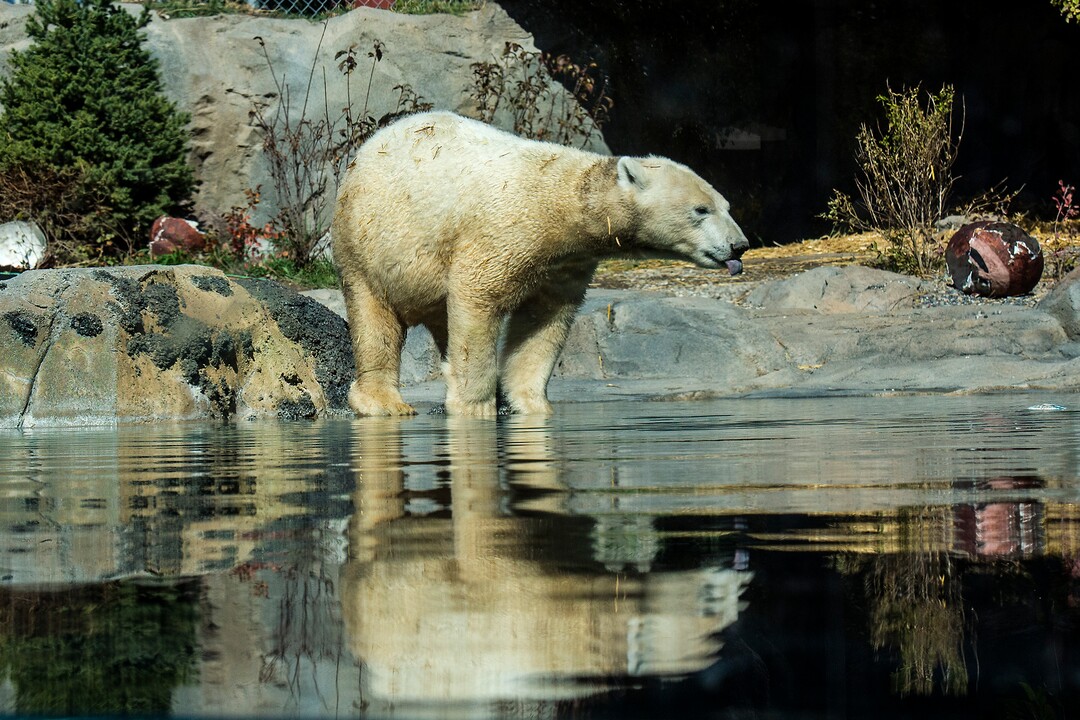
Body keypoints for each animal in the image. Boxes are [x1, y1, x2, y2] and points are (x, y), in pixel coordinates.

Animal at [331, 111, 749, 417]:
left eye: (726, 205)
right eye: (701, 209)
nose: (739, 246)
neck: (561, 202)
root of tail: (371, 145)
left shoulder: (564, 262)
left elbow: (543, 323)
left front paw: (531, 404)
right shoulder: (502, 232)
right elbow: (477, 297)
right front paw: (475, 406)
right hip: (367, 238)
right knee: (375, 318)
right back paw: (384, 403)